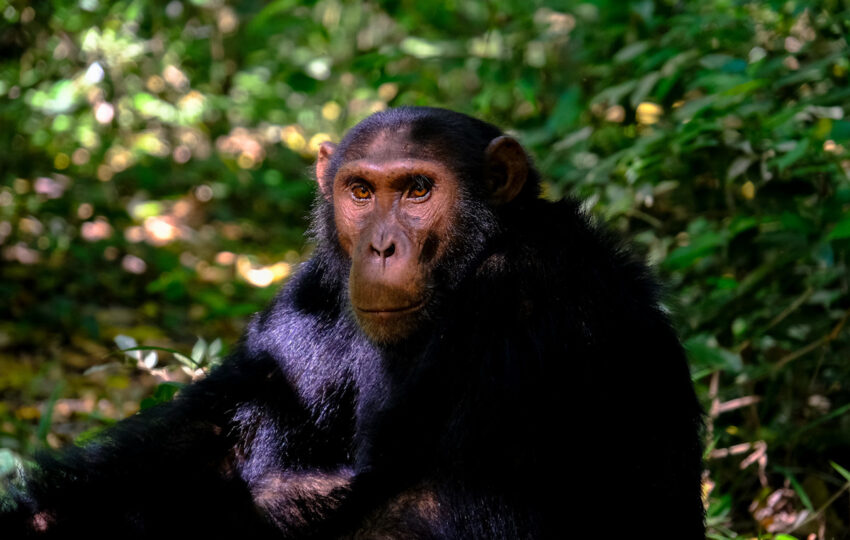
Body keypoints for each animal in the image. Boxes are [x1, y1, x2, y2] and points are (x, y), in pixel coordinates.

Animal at [0, 106, 704, 540]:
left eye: (418, 190)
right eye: (361, 192)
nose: (382, 246)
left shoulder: (527, 291)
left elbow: (434, 499)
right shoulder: (310, 296)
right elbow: (208, 441)